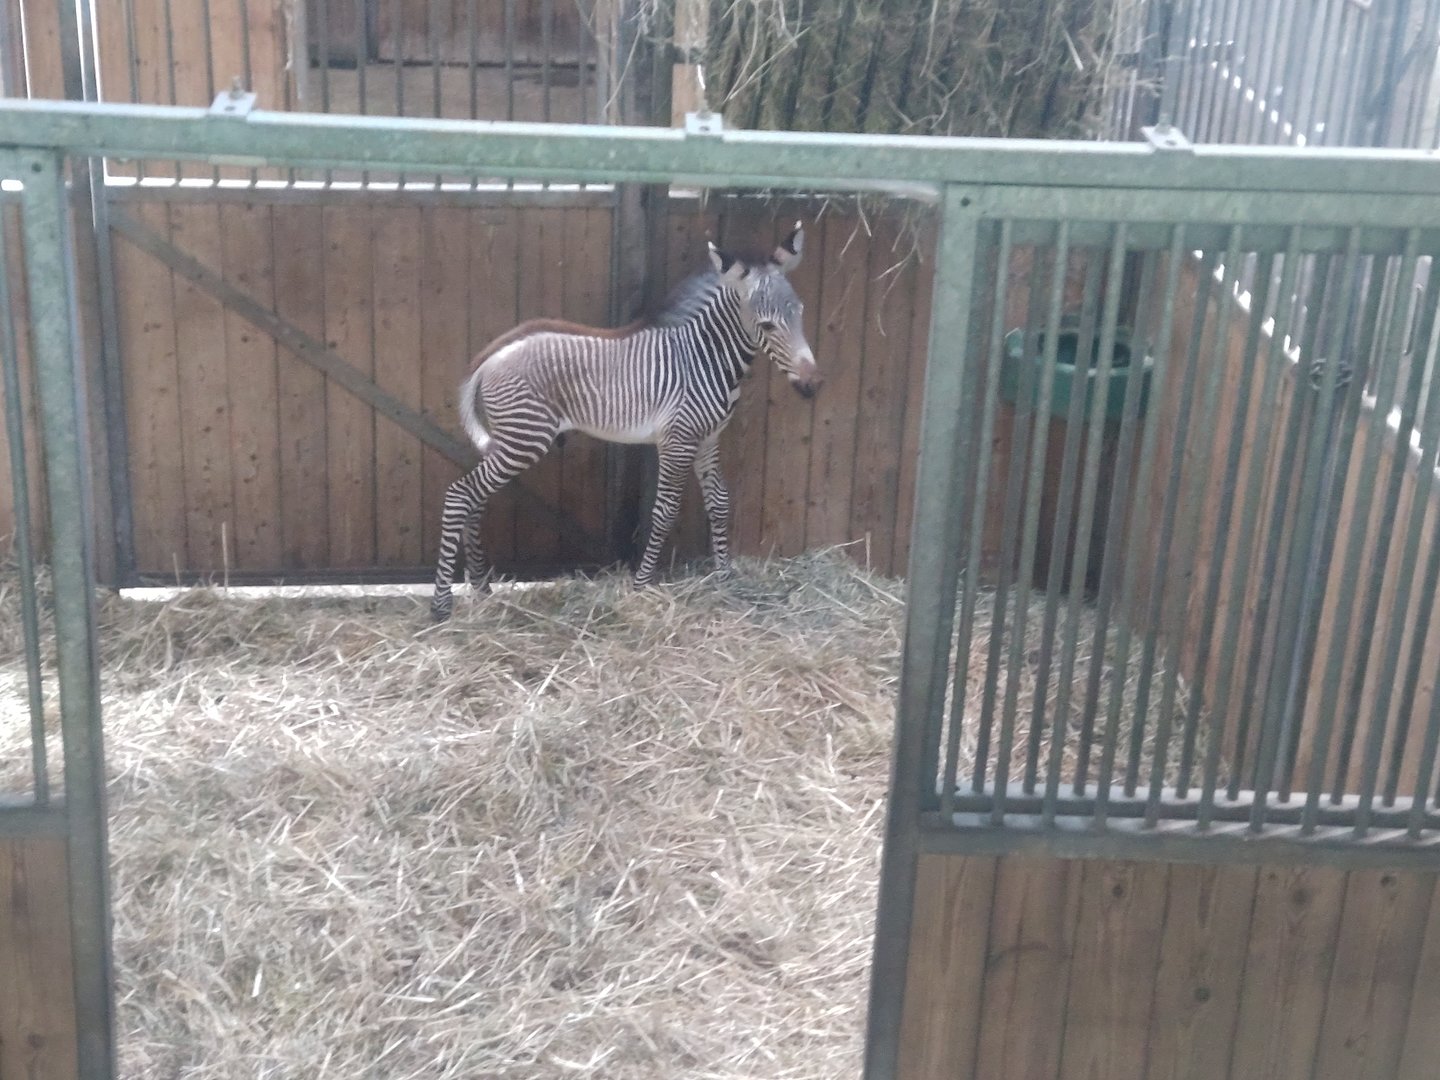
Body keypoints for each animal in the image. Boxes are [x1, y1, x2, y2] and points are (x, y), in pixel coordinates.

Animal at [430, 223, 820, 621]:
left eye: (801, 313)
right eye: (767, 326)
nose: (812, 386)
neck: (702, 358)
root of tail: (491, 355)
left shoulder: (707, 439)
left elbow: (719, 502)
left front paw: (724, 577)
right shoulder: (678, 440)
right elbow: (664, 512)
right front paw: (642, 584)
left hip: (509, 440)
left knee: (475, 497)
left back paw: (481, 586)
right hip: (524, 440)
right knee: (460, 494)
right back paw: (441, 604)